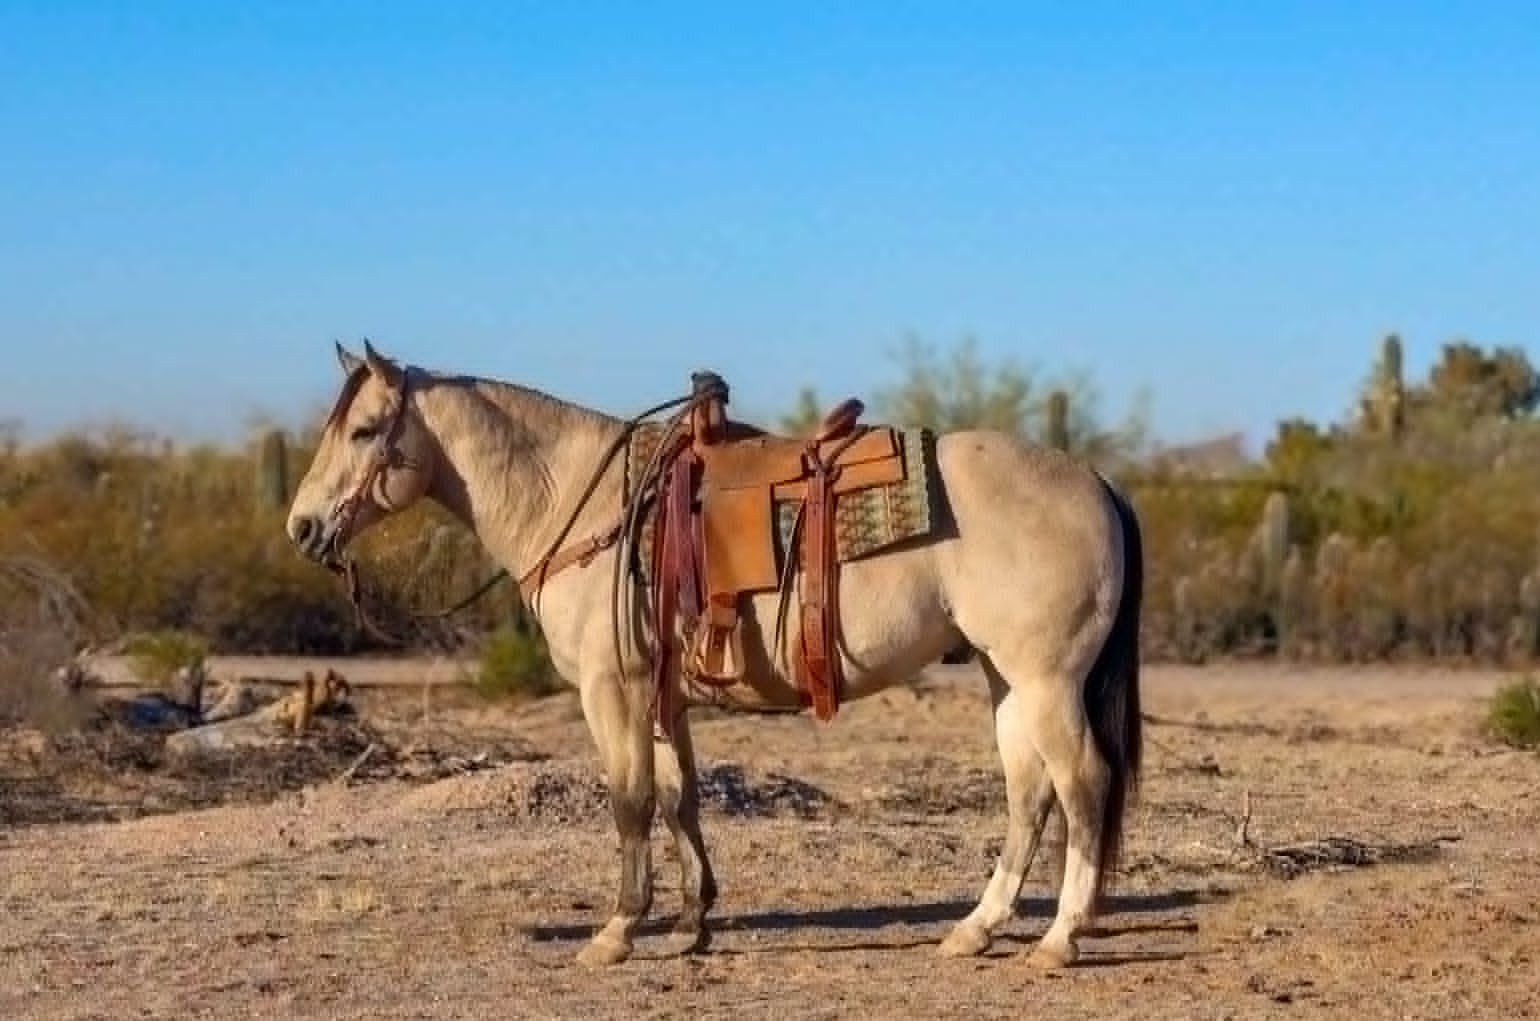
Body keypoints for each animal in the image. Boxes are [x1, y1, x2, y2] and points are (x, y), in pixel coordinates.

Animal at [284, 339, 1144, 970]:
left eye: (363, 430)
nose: (302, 527)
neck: (579, 502)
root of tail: (1097, 481)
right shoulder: (663, 699)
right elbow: (678, 799)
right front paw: (690, 922)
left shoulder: (615, 692)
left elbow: (630, 802)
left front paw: (617, 930)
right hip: (1008, 681)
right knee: (1030, 795)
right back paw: (976, 928)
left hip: (1047, 682)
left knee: (1083, 786)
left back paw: (1058, 938)